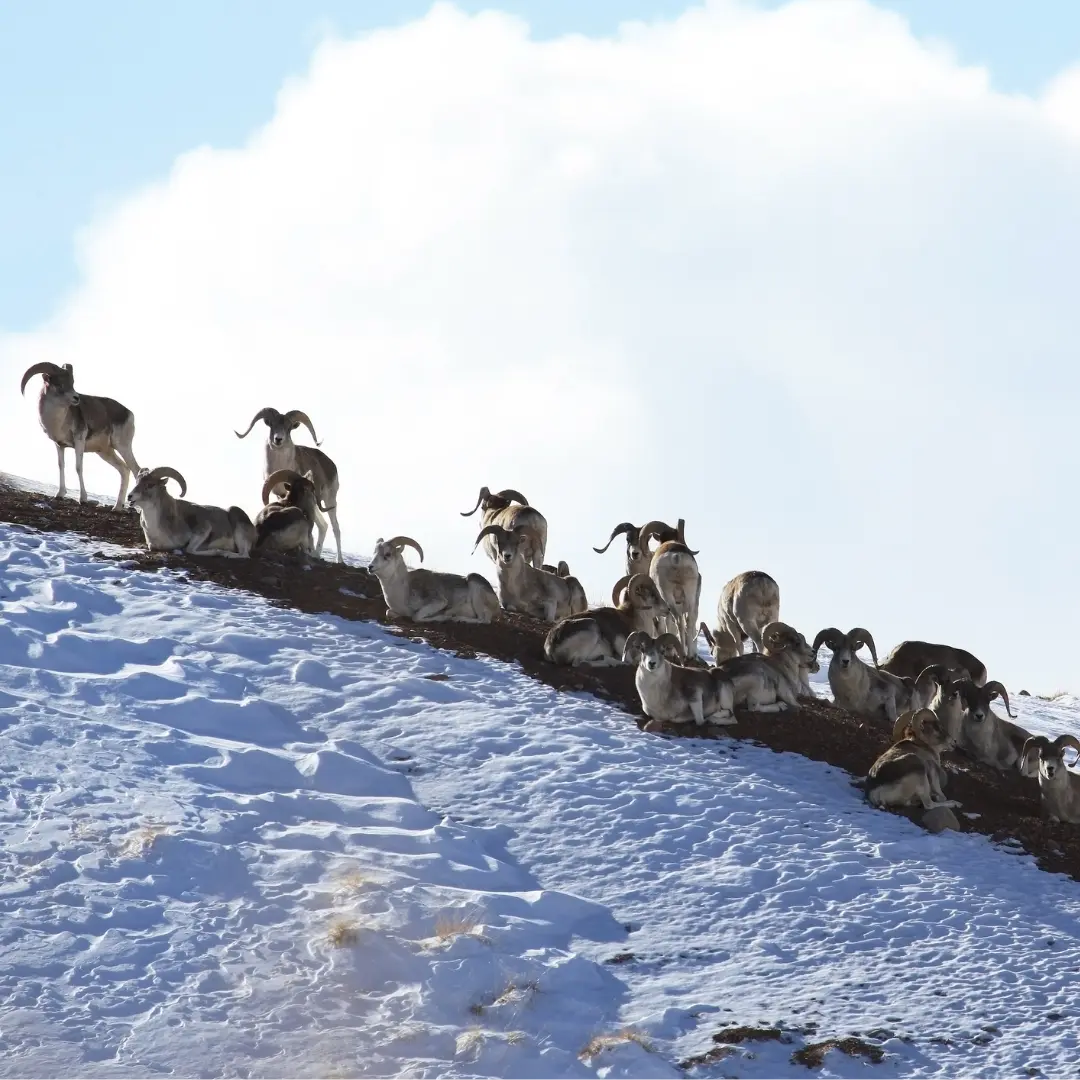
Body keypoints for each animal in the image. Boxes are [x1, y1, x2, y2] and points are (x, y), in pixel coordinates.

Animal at [20, 362, 141, 511]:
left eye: (72, 383)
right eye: (60, 384)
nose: (76, 398)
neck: (58, 421)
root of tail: (129, 413)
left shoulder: (79, 441)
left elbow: (78, 467)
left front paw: (83, 499)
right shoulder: (60, 445)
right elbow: (61, 465)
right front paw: (60, 494)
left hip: (122, 446)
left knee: (136, 470)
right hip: (105, 452)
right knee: (124, 470)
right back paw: (117, 507)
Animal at [126, 466, 255, 556]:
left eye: (150, 485)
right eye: (137, 482)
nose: (129, 496)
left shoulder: (204, 529)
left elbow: (189, 549)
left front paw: (216, 551)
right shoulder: (153, 545)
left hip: (238, 528)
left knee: (244, 555)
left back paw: (226, 554)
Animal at [235, 407, 342, 563]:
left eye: (289, 427)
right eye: (272, 425)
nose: (278, 439)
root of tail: (332, 465)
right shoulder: (279, 495)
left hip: (329, 500)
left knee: (335, 528)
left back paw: (339, 560)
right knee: (323, 526)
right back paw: (316, 554)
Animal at [368, 535, 499, 623]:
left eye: (388, 554)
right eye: (374, 552)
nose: (370, 567)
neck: (402, 592)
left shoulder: (439, 602)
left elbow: (416, 617)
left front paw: (445, 617)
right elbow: (389, 613)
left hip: (476, 589)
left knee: (484, 620)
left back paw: (457, 618)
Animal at [639, 520, 701, 659]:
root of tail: (676, 556)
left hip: (666, 593)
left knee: (678, 619)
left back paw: (682, 653)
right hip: (689, 593)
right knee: (689, 620)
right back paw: (690, 655)